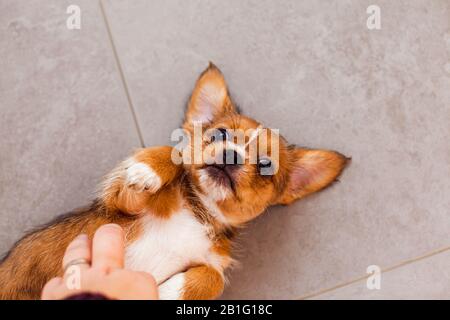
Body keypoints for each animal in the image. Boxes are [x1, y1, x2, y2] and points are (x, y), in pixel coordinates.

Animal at [0, 63, 348, 300]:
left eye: (266, 164)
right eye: (219, 134)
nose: (231, 155)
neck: (198, 210)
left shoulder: (212, 262)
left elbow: (213, 278)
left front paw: (164, 292)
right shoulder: (119, 202)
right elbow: (171, 152)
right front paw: (150, 169)